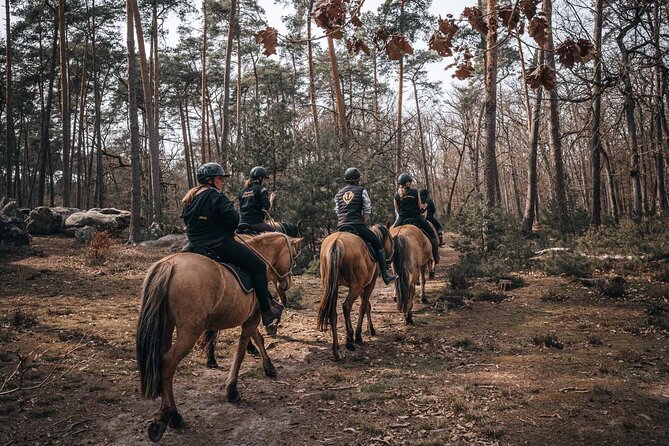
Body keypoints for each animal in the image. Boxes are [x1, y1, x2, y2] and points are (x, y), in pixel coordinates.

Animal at [136, 232, 300, 440]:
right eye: (293, 256)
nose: (286, 284)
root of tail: (170, 265)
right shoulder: (252, 318)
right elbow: (241, 351)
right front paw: (232, 390)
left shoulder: (249, 317)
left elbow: (257, 339)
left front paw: (268, 367)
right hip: (189, 331)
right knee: (168, 363)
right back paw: (172, 416)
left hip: (166, 325)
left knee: (161, 359)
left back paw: (167, 415)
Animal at [318, 225, 394, 360]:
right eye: (390, 238)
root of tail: (337, 242)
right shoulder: (369, 284)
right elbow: (364, 307)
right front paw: (359, 335)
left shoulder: (363, 286)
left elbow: (367, 305)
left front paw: (371, 329)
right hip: (355, 287)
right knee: (346, 306)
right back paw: (350, 340)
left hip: (332, 286)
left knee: (333, 313)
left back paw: (336, 351)